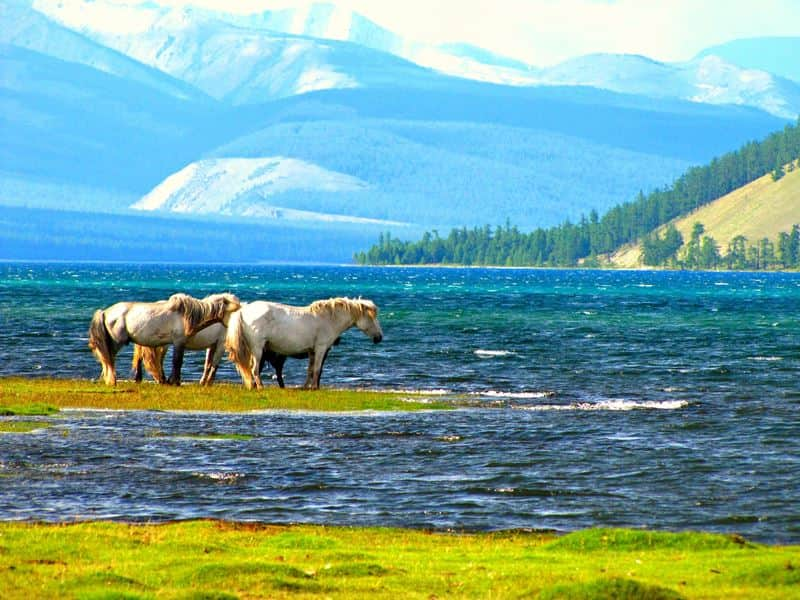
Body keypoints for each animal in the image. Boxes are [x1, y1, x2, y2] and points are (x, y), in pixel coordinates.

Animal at [87, 292, 239, 386]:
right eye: (233, 312)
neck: (187, 316)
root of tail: (105, 312)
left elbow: (206, 364)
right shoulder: (179, 342)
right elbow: (178, 362)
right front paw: (175, 382)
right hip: (116, 342)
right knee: (109, 359)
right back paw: (113, 380)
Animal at [223, 296, 382, 390]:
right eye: (371, 317)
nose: (379, 337)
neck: (328, 318)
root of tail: (243, 310)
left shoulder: (312, 351)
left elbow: (310, 370)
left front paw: (306, 387)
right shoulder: (321, 348)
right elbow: (317, 369)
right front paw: (314, 387)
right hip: (258, 348)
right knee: (255, 369)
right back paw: (261, 387)